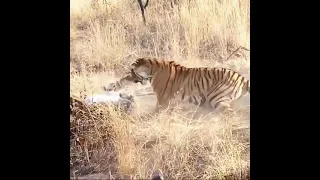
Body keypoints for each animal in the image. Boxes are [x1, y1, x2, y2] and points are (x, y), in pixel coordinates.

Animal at [102, 57, 250, 114]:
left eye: (132, 71)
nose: (130, 75)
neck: (152, 70)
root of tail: (241, 77)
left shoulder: (162, 102)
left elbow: (153, 113)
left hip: (216, 98)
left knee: (230, 113)